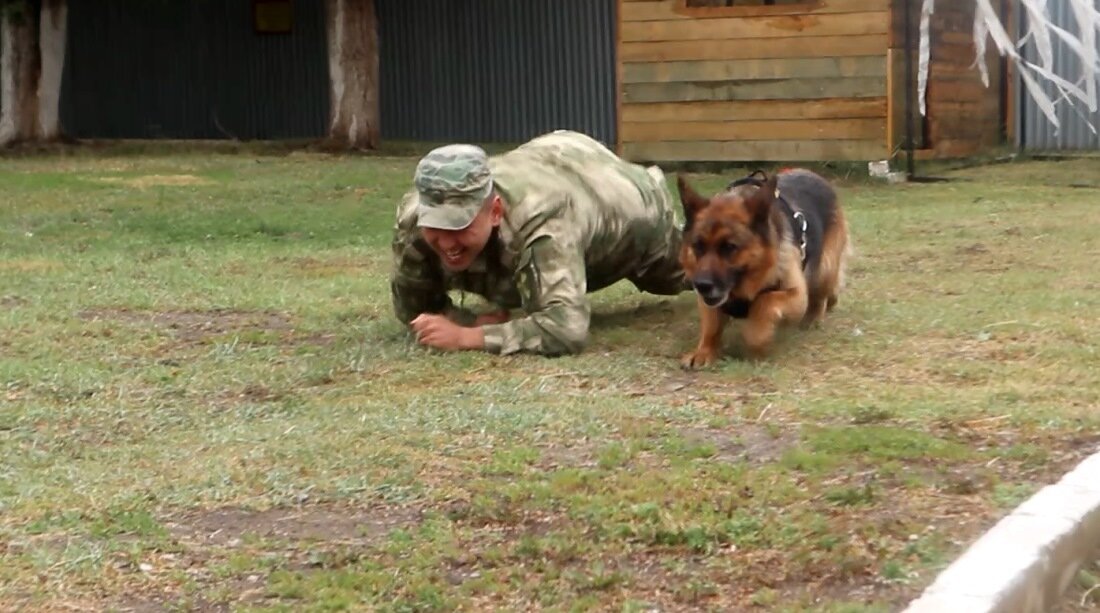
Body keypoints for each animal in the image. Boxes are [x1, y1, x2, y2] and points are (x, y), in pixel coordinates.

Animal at [673, 168, 853, 367]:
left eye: (730, 247)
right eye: (698, 246)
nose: (702, 285)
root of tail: (813, 174)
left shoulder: (797, 295)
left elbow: (764, 301)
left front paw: (756, 338)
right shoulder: (709, 301)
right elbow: (711, 325)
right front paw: (704, 351)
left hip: (824, 269)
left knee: (820, 296)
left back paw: (813, 317)